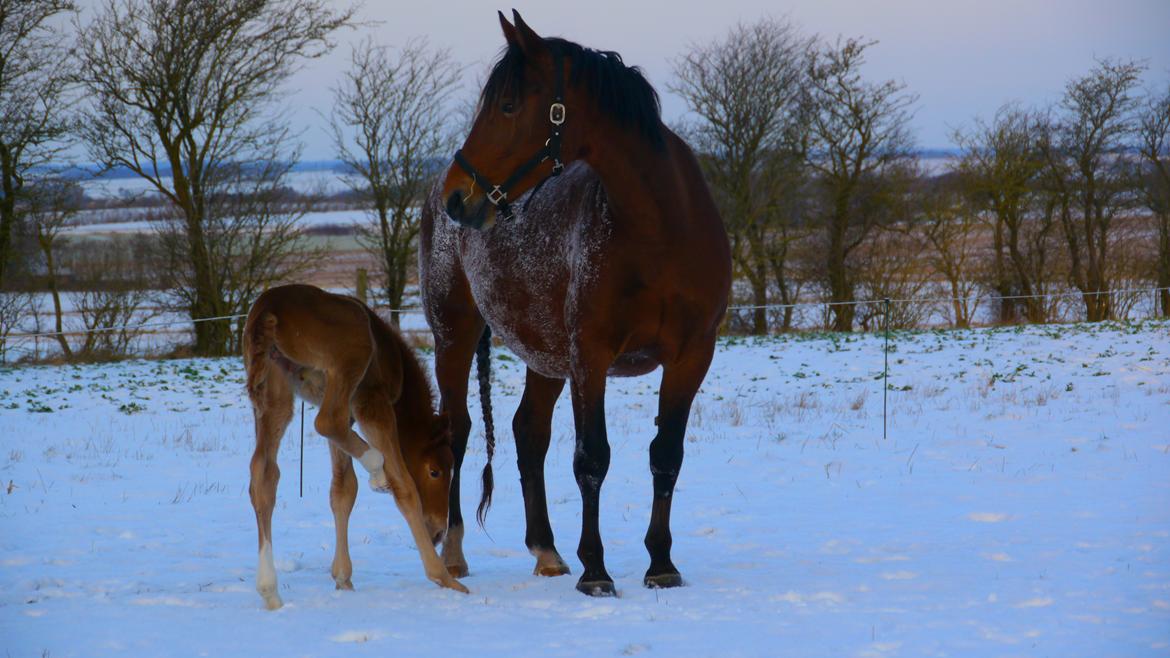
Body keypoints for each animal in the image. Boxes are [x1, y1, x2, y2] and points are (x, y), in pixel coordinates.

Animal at [244, 284, 467, 608]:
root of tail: (269, 307)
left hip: (275, 393)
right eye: (435, 472)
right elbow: (404, 486)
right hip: (348, 367)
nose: (437, 531)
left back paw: (269, 591)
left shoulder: (347, 414)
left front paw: (343, 578)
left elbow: (343, 489)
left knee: (264, 474)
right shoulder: (372, 403)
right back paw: (378, 468)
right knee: (326, 423)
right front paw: (443, 578)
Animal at [421, 11, 730, 594]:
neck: (660, 230)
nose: (458, 195)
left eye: (508, 105)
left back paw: (546, 551)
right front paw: (596, 571)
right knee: (457, 431)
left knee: (528, 432)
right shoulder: (591, 355)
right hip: (454, 336)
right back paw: (452, 553)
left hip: (544, 356)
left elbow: (666, 456)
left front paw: (661, 563)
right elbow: (592, 459)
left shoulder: (690, 357)